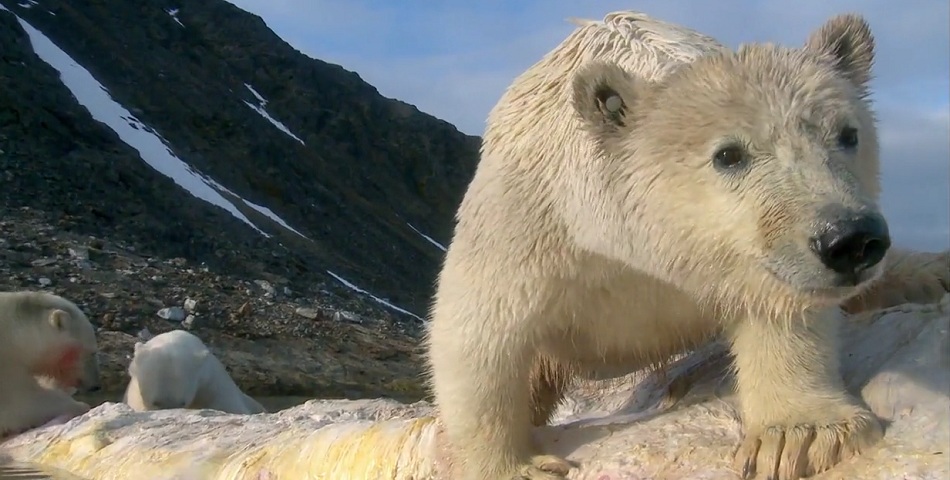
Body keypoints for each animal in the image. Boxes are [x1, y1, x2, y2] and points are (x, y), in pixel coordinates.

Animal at [428, 10, 950, 480]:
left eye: (847, 134)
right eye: (729, 154)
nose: (850, 239)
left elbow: (780, 309)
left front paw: (800, 436)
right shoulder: (527, 220)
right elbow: (478, 336)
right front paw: (516, 467)